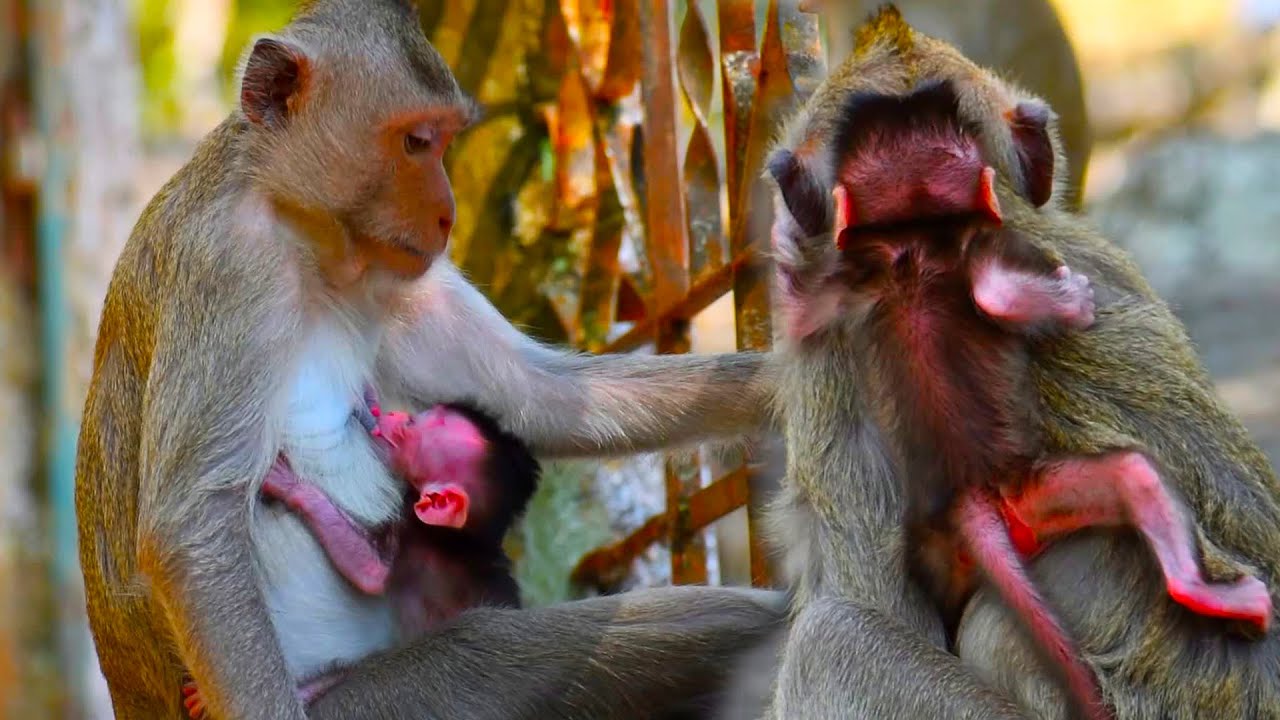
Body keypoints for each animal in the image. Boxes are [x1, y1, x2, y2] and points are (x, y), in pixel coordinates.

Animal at [73, 2, 782, 719]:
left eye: (443, 141)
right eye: (417, 141)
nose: (447, 215)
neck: (301, 229)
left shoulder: (395, 271)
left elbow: (539, 396)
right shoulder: (230, 264)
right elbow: (194, 521)